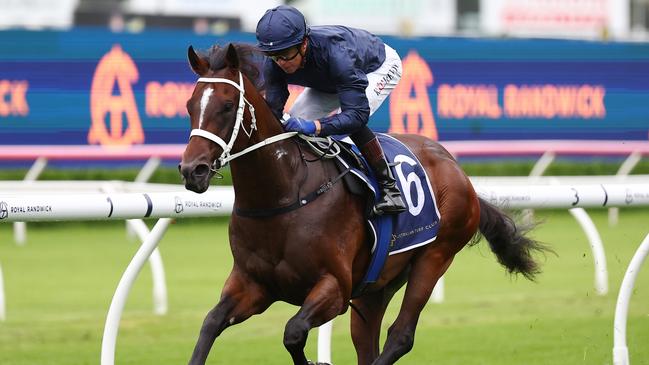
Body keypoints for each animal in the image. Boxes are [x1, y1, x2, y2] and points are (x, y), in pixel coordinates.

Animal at [177, 43, 548, 364]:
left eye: (227, 106)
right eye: (190, 105)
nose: (192, 170)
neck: (283, 195)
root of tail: (457, 169)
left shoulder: (335, 288)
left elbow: (293, 332)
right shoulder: (253, 285)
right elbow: (210, 323)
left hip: (435, 256)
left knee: (401, 335)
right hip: (377, 283)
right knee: (366, 340)